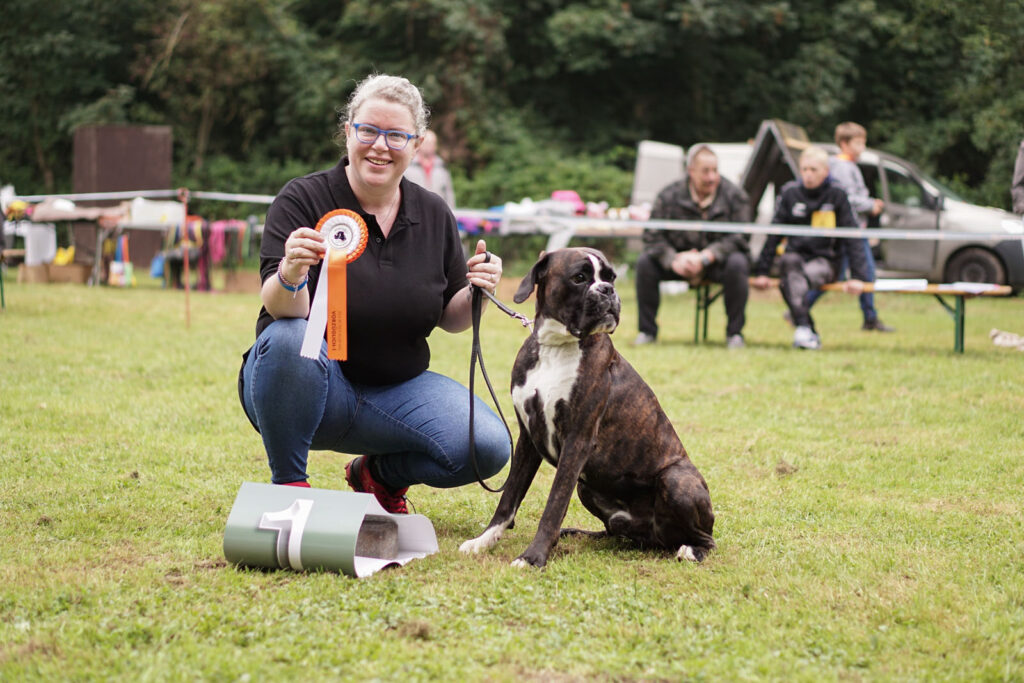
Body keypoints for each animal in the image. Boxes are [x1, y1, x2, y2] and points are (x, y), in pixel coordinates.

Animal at [460, 248, 716, 569]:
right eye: (579, 278)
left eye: (611, 277)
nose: (608, 290)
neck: (556, 347)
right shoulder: (528, 438)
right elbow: (509, 498)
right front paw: (483, 541)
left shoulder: (577, 441)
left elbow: (554, 505)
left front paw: (533, 557)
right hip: (589, 489)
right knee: (617, 532)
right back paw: (578, 534)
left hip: (676, 479)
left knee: (706, 539)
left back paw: (691, 550)